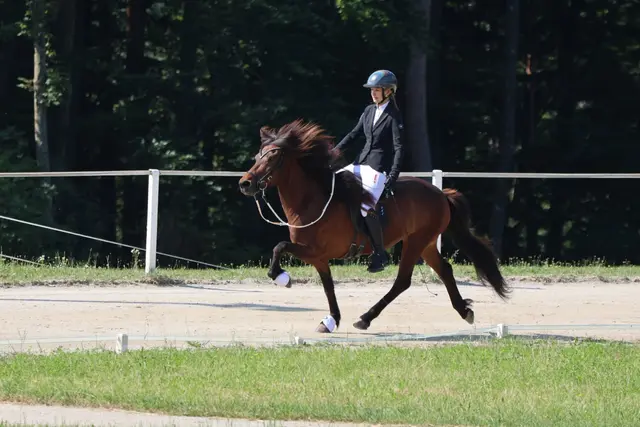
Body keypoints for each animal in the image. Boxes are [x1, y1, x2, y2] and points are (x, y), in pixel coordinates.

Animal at [238, 119, 510, 333]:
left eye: (273, 156)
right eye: (257, 156)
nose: (245, 183)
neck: (314, 200)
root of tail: (441, 193)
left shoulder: (315, 251)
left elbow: (280, 246)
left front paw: (281, 277)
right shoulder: (318, 257)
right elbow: (328, 287)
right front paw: (331, 320)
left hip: (416, 242)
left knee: (403, 281)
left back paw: (366, 318)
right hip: (426, 243)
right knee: (445, 270)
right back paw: (464, 311)